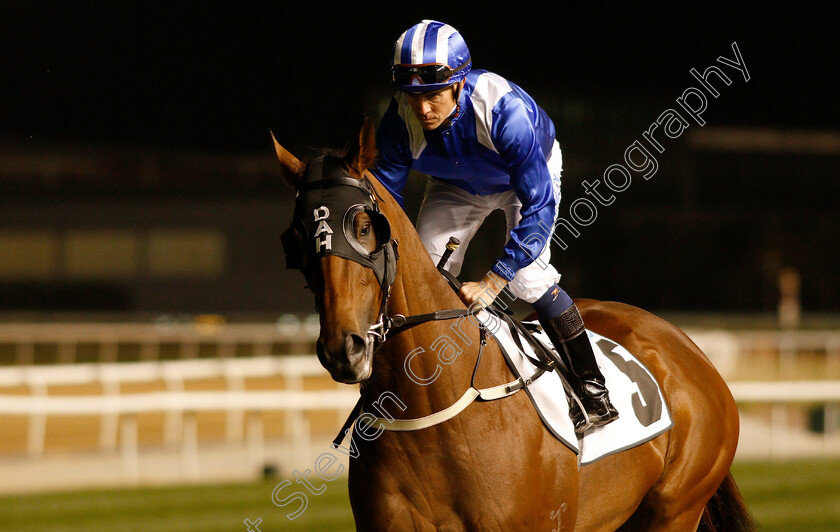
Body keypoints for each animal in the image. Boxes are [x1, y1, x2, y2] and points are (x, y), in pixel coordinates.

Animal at [272, 120, 752, 532]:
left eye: (363, 226)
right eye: (296, 237)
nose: (343, 349)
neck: (428, 405)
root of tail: (685, 345)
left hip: (676, 508)